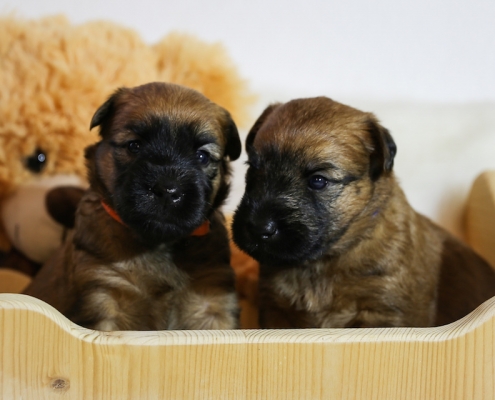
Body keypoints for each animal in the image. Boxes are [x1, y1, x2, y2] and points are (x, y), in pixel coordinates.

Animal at [25, 82, 242, 332]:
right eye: (134, 146)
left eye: (202, 156)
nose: (168, 190)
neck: (159, 243)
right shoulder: (104, 296)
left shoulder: (213, 300)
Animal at [232, 97, 495, 328]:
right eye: (253, 168)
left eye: (318, 181)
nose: (258, 227)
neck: (322, 263)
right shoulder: (276, 309)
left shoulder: (385, 314)